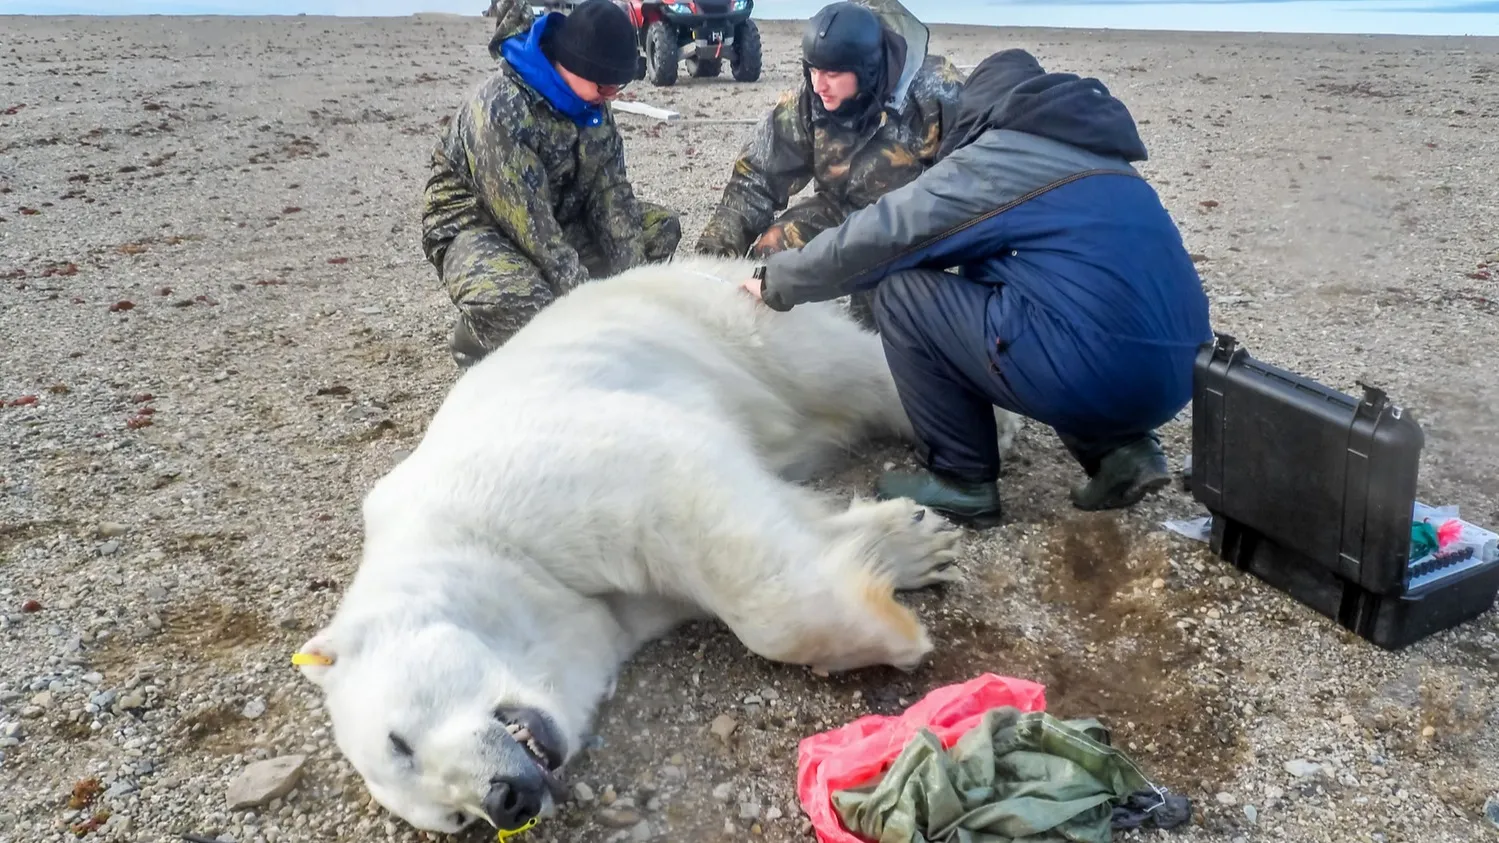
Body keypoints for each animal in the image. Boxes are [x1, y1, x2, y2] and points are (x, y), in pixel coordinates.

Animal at [292, 255, 1019, 834]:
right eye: (454, 820)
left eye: (400, 741)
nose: (504, 800)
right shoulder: (614, 608)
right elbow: (773, 528)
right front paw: (904, 542)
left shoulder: (529, 481)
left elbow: (683, 496)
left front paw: (896, 631)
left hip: (727, 326)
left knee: (840, 368)